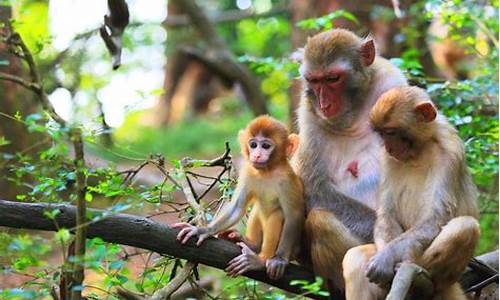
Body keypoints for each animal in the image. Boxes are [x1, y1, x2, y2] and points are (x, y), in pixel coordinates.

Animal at [172, 116, 304, 280]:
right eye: (253, 145)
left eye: (266, 146)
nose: (257, 155)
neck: (267, 172)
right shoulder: (248, 171)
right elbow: (238, 207)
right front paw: (203, 230)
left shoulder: (287, 180)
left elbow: (294, 216)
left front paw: (278, 260)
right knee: (258, 208)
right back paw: (251, 244)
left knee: (277, 214)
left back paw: (261, 260)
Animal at [294, 28, 408, 290]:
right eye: (314, 81)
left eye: (333, 78)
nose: (324, 103)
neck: (354, 111)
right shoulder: (308, 113)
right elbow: (315, 189)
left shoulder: (391, 82)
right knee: (320, 220)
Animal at [342, 85, 478, 298]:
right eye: (382, 134)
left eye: (391, 132)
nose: (389, 147)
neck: (420, 149)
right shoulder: (386, 158)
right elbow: (387, 214)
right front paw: (384, 257)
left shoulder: (451, 152)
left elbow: (436, 217)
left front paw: (386, 258)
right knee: (354, 257)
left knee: (465, 227)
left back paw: (416, 272)